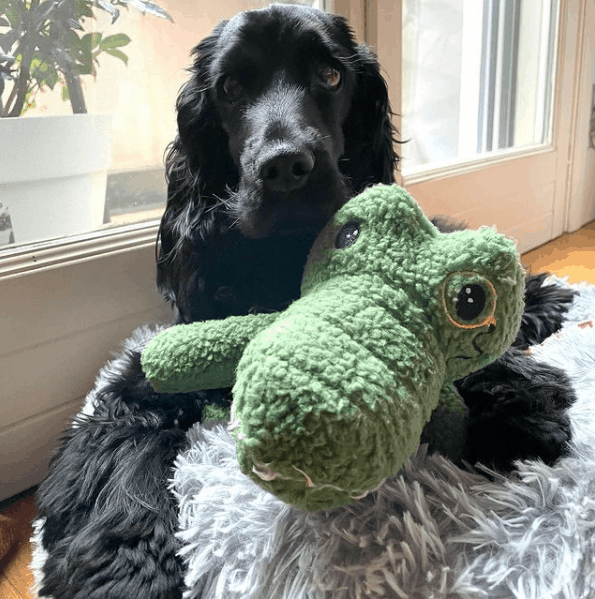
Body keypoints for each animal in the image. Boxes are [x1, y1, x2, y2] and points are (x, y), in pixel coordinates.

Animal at [36, 4, 576, 599]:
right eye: (230, 87)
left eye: (330, 75)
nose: (285, 166)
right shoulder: (144, 378)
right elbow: (120, 456)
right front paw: (124, 569)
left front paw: (514, 397)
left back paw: (542, 299)